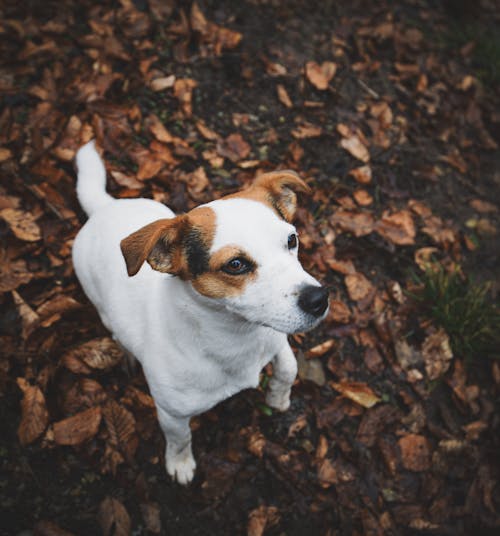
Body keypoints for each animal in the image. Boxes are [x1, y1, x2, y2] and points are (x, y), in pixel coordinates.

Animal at [70, 140, 328, 484]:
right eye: (235, 264)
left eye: (292, 239)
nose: (319, 299)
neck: (234, 337)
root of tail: (103, 208)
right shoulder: (172, 413)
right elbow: (181, 439)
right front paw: (180, 464)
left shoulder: (276, 339)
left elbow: (288, 368)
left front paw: (279, 397)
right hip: (100, 304)